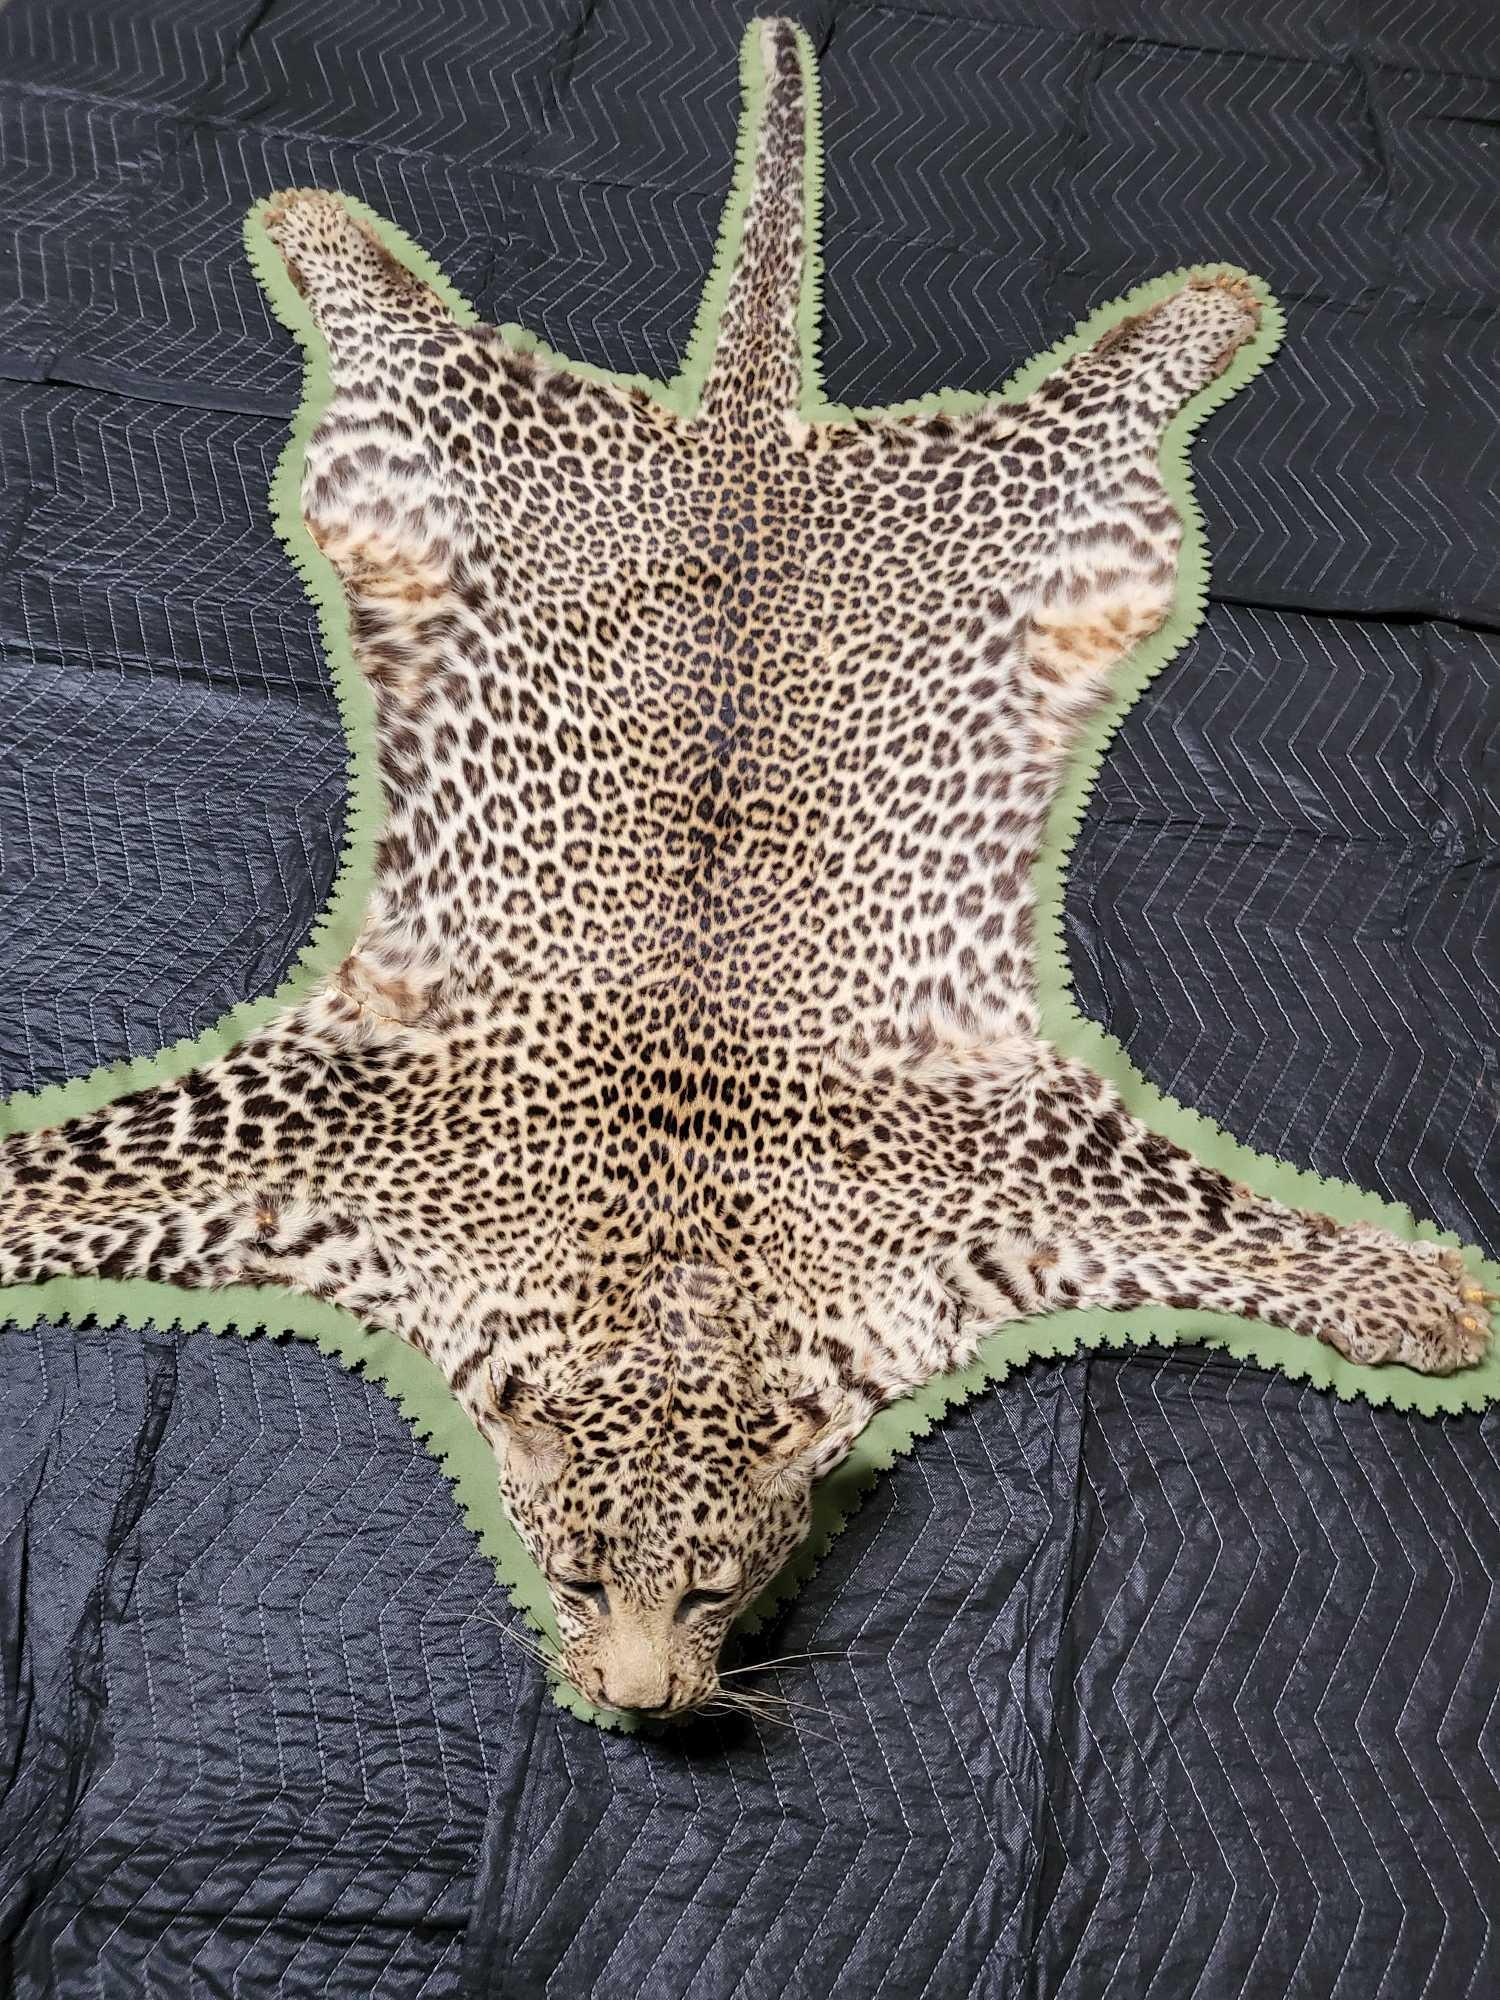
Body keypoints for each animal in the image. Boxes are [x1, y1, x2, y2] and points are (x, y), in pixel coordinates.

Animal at [0, 17, 1490, 1722]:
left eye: (721, 1587)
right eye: (579, 1577)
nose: (642, 1710)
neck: (674, 1276)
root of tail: (740, 438)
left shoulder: (1012, 1166)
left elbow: (1229, 1231)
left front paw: (1422, 1297)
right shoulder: (333, 1135)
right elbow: (85, 1178)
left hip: (1068, 523)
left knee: (1119, 373)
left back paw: (1211, 306)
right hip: (416, 475)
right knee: (398, 319)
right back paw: (317, 224)